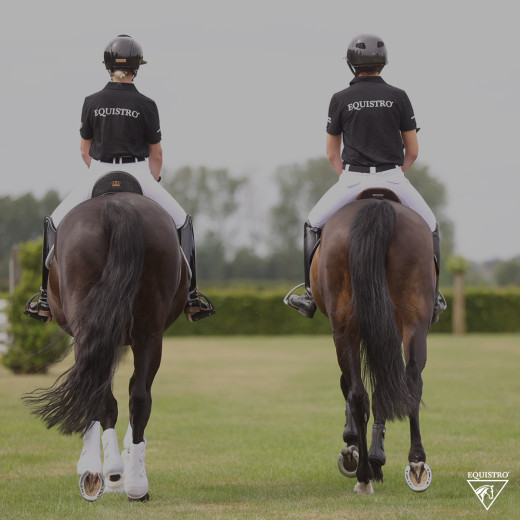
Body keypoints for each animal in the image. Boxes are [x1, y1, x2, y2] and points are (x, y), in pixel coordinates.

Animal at [23, 188, 189, 500]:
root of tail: (116, 206)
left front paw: (91, 470)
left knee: (105, 395)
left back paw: (113, 472)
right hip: (148, 333)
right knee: (139, 396)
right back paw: (134, 482)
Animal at [310, 193, 436, 494]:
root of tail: (376, 205)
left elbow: (352, 385)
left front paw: (354, 445)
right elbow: (383, 387)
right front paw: (372, 456)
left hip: (346, 326)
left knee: (359, 392)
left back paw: (365, 473)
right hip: (413, 320)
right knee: (409, 380)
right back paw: (414, 461)